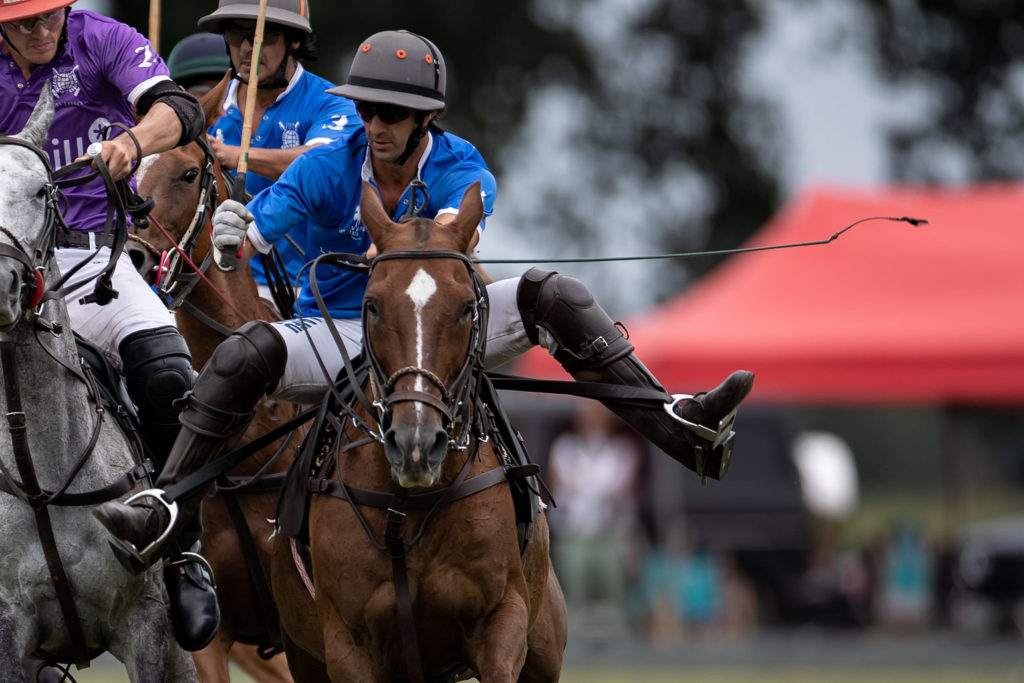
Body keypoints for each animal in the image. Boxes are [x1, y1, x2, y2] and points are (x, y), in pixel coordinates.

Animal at [268, 181, 569, 683]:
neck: (407, 507)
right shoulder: (348, 644)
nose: (415, 446)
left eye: (467, 308)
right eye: (371, 305)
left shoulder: (501, 621)